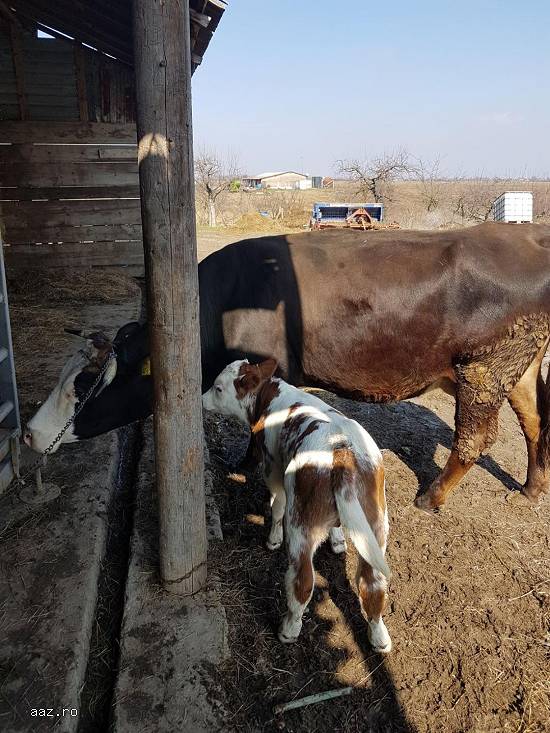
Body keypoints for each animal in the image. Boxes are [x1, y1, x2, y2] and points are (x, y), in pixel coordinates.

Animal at [24, 222, 550, 512]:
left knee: (475, 438)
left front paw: (245, 467)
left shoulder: (264, 370)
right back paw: (531, 488)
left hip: (483, 370)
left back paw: (432, 497)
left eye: (83, 384)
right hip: (517, 370)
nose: (29, 433)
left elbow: (257, 425)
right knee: (535, 423)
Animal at [202, 358, 391, 650]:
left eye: (218, 388)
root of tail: (342, 450)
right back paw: (379, 636)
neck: (270, 399)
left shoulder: (272, 466)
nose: (201, 399)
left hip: (301, 522)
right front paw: (337, 540)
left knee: (303, 580)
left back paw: (289, 628)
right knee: (373, 583)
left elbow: (277, 505)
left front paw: (272, 539)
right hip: (376, 522)